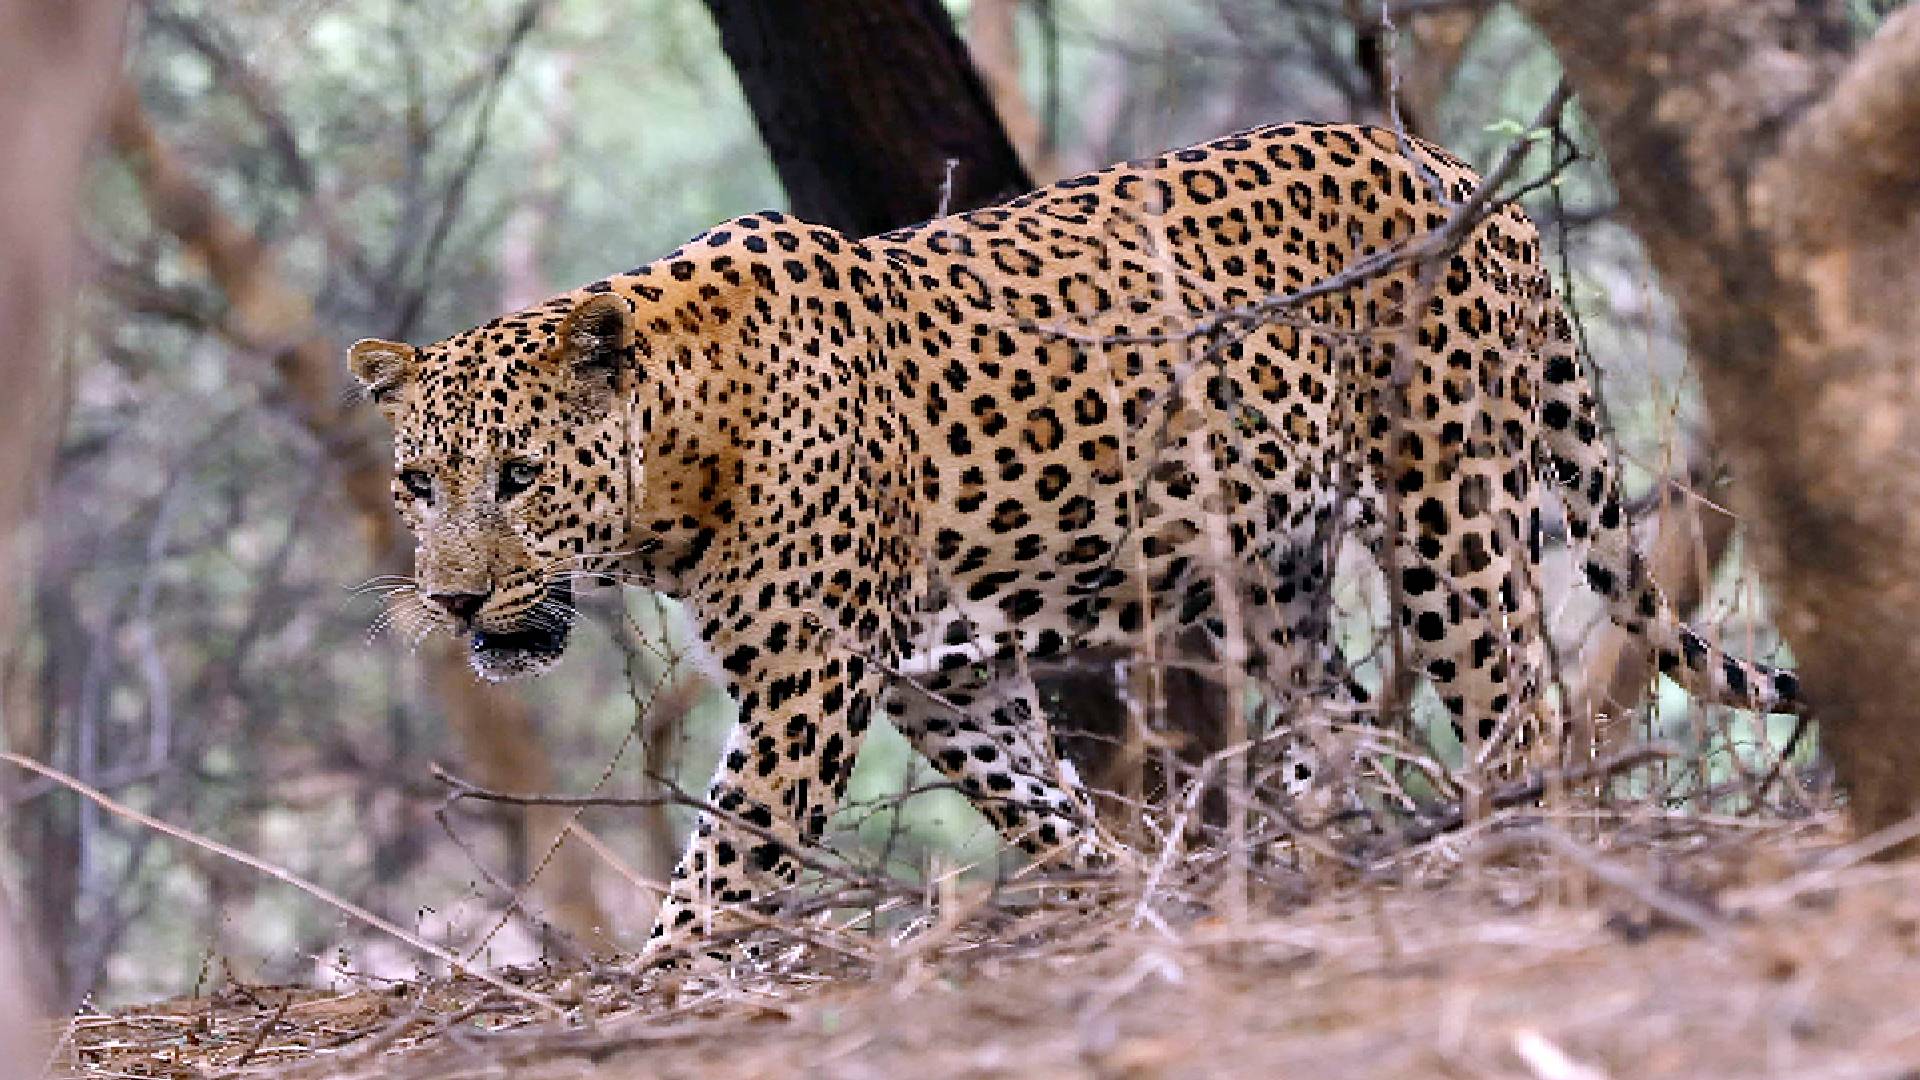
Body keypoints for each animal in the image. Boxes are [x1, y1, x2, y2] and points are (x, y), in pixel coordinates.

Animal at [348, 122, 1801, 953]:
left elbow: (724, 869)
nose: (459, 606)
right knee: (1346, 717)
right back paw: (1328, 850)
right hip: (1271, 568)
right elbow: (1040, 809)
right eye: (418, 484)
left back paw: (1515, 857)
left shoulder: (814, 679)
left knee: (1521, 710)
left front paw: (665, 989)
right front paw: (1118, 899)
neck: (674, 465)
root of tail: (1464, 175)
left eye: (522, 476)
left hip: (1448, 506)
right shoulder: (940, 680)